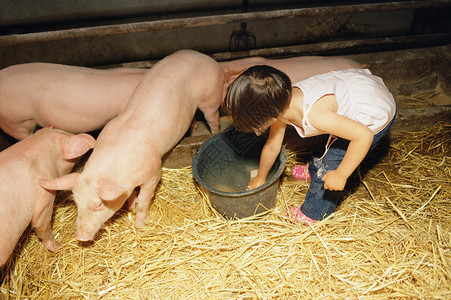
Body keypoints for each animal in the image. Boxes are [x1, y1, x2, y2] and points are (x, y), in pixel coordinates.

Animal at [39, 49, 225, 241]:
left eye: (99, 204)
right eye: (77, 203)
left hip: (210, 98)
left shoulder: (154, 173)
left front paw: (140, 224)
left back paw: (212, 132)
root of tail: (206, 58)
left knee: (213, 118)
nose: (80, 237)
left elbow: (145, 200)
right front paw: (130, 205)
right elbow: (130, 194)